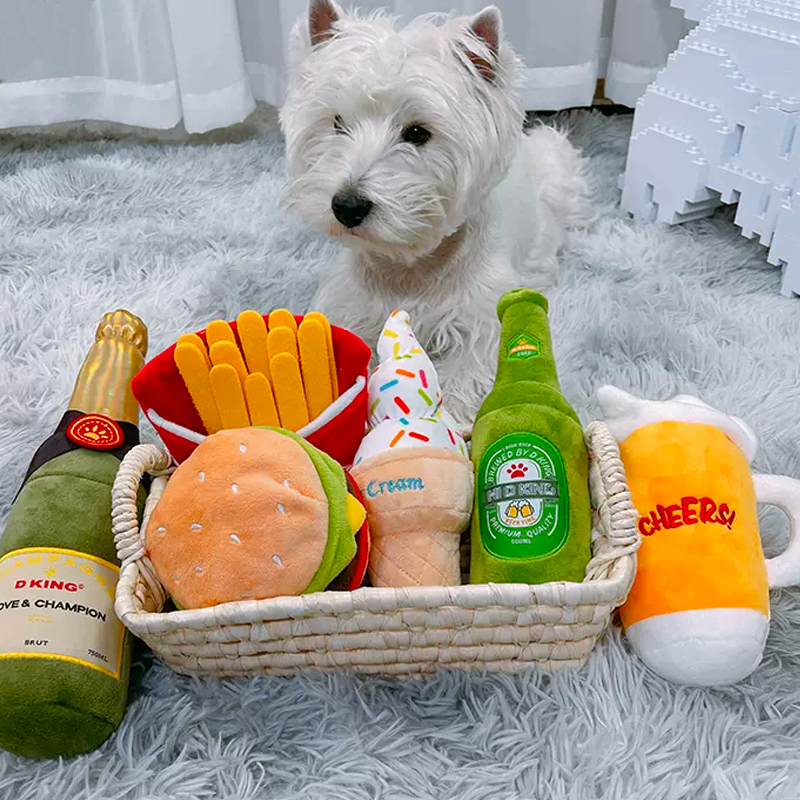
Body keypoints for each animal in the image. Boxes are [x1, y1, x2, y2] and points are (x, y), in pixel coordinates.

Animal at [280, 1, 593, 421]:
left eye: (417, 133)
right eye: (337, 123)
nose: (346, 207)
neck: (410, 267)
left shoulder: (482, 324)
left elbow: (465, 378)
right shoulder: (349, 307)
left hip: (561, 174)